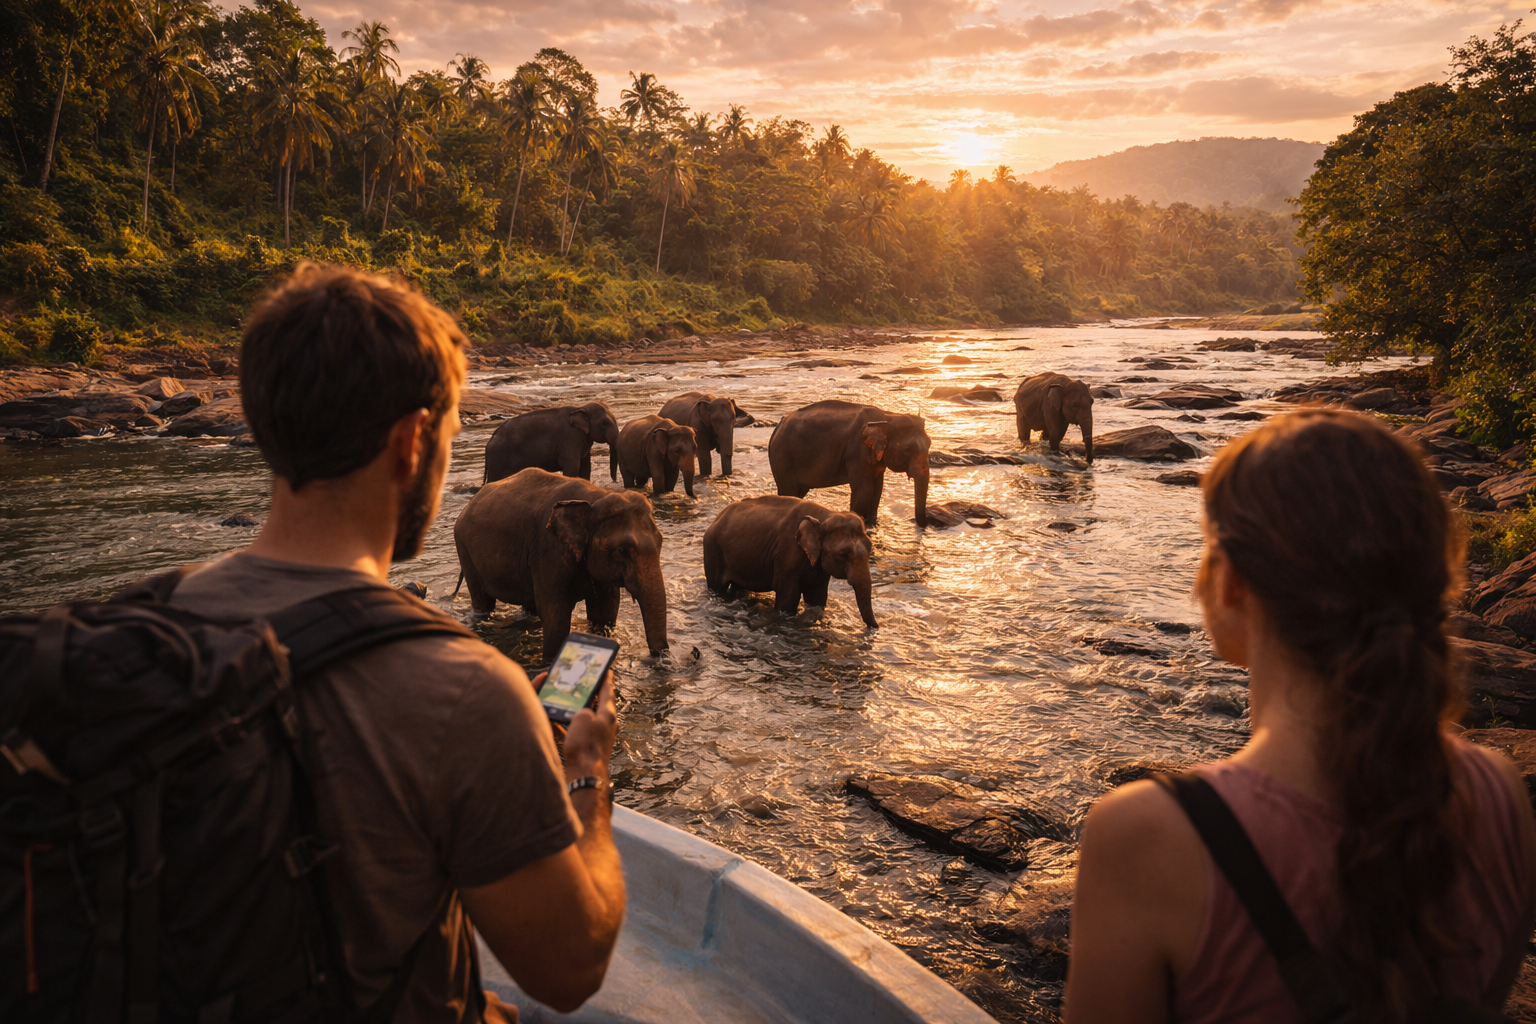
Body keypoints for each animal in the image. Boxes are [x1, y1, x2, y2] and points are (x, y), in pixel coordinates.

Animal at [452, 468, 668, 661]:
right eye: (622, 551)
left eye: (661, 543)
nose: (658, 659)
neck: (595, 498)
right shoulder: (549, 550)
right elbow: (556, 616)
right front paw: (550, 662)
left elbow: (605, 611)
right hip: (464, 549)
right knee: (482, 601)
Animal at [482, 402, 621, 483]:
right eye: (604, 423)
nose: (615, 482)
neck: (580, 408)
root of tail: (492, 437)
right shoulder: (570, 438)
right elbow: (572, 467)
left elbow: (585, 467)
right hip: (498, 459)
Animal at [703, 496, 878, 628]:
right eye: (842, 555)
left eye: (870, 548)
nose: (873, 628)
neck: (825, 516)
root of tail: (717, 518)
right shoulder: (786, 556)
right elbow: (789, 600)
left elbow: (817, 599)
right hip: (713, 549)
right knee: (717, 587)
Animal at [768, 401, 931, 529]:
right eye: (908, 449)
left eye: (929, 444)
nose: (922, 526)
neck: (888, 417)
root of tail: (778, 426)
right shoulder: (857, 451)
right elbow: (864, 489)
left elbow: (878, 488)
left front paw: (872, 524)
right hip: (783, 459)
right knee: (788, 491)